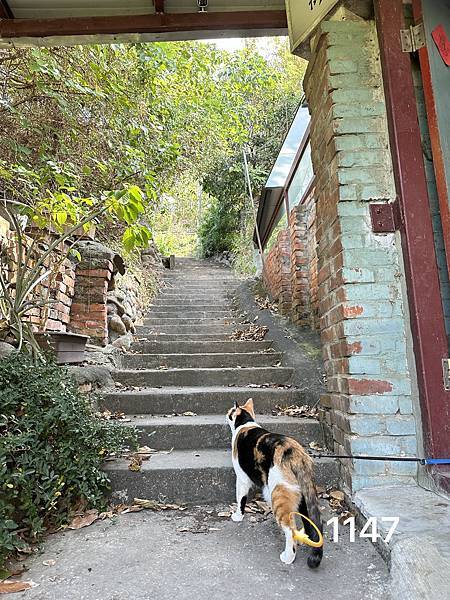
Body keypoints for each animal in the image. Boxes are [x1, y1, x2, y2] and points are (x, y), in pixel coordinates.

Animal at [229, 398, 324, 568]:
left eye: (230, 412)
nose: (226, 413)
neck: (246, 424)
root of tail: (296, 454)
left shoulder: (242, 478)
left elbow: (240, 499)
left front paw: (238, 516)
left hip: (278, 497)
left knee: (290, 530)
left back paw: (288, 557)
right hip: (304, 497)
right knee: (309, 522)